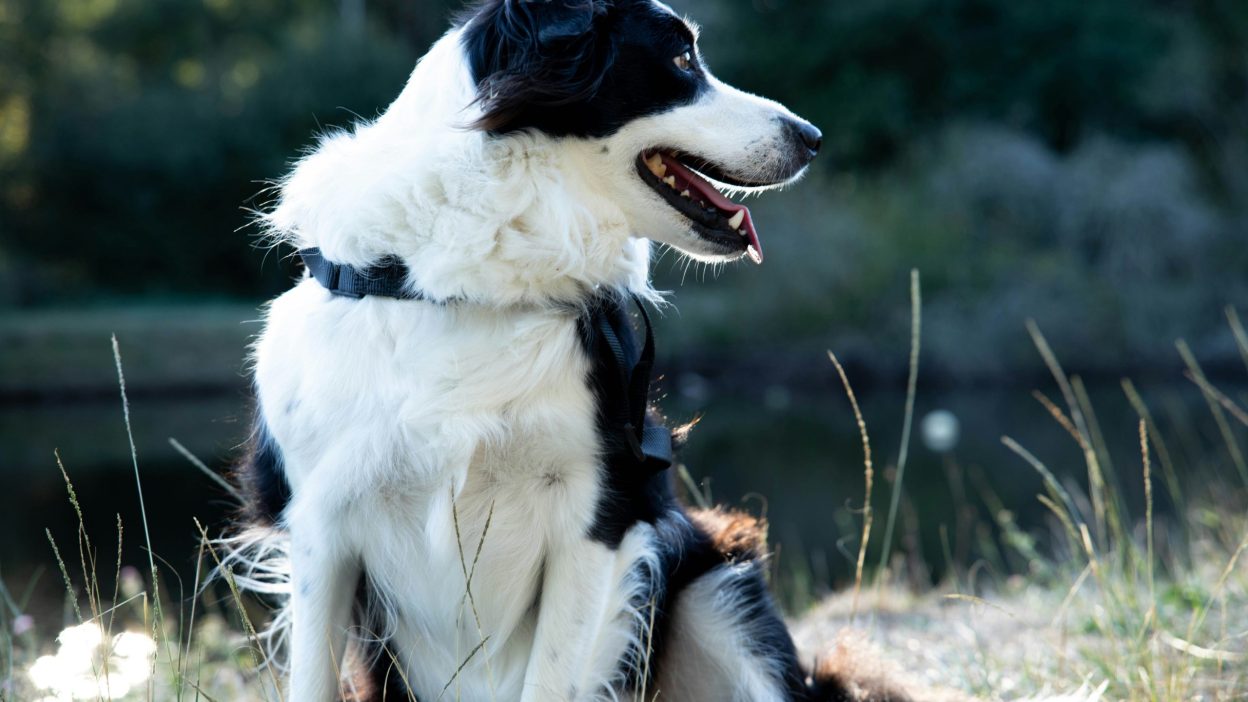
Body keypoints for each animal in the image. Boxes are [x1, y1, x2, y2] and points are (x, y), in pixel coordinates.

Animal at [224, 1, 888, 699]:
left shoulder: (599, 518)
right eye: (681, 59)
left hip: (719, 589)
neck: (473, 285)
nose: (812, 136)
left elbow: (551, 676)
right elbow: (311, 678)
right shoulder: (318, 529)